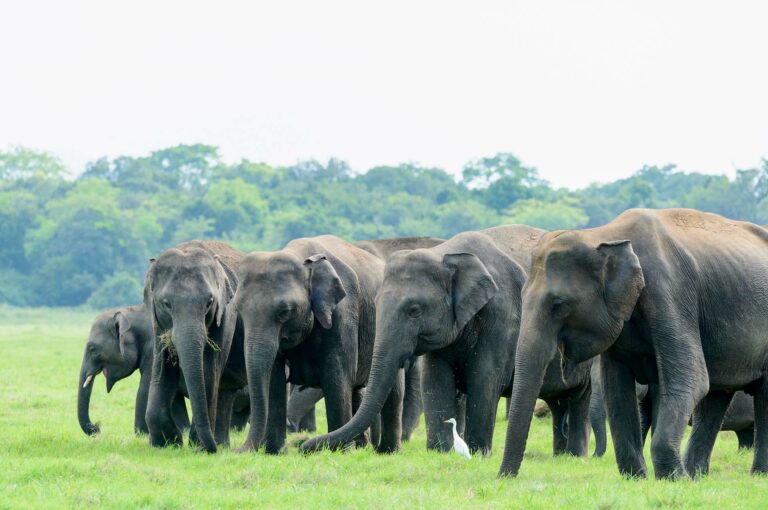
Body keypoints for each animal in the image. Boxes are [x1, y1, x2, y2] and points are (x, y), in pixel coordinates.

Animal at [77, 304, 189, 436]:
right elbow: (173, 396)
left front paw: (141, 434)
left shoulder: (154, 352)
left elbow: (145, 389)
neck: (132, 311)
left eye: (92, 349)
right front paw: (184, 431)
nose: (97, 427)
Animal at [142, 241, 242, 452]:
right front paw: (167, 443)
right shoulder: (157, 324)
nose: (211, 450)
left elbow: (208, 373)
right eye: (166, 304)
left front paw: (198, 446)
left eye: (209, 303)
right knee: (226, 392)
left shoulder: (226, 314)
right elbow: (162, 371)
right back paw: (221, 444)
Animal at [234, 235, 396, 454]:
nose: (235, 451)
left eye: (285, 311)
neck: (300, 256)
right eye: (237, 310)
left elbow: (337, 377)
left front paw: (339, 452)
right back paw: (361, 448)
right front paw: (274, 453)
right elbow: (275, 379)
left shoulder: (343, 313)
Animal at [296, 225, 592, 456]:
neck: (446, 255)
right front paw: (439, 451)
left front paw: (477, 452)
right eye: (376, 302)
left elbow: (484, 377)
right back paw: (562, 454)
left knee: (579, 397)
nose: (303, 447)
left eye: (414, 310)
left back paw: (575, 456)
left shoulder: (503, 312)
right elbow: (435, 379)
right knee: (558, 403)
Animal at [498, 207, 768, 478]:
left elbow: (692, 379)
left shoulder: (671, 293)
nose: (504, 478)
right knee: (717, 397)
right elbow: (617, 390)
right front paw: (637, 478)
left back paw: (749, 475)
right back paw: (697, 475)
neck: (604, 234)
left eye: (558, 305)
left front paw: (674, 480)